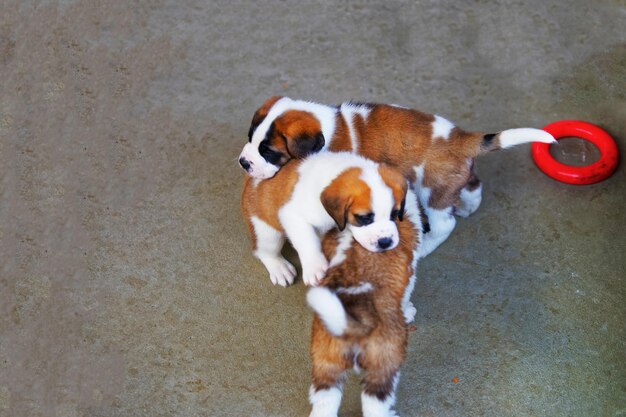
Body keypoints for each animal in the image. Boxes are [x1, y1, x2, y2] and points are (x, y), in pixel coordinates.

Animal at [238, 152, 404, 286]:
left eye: (395, 214)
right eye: (363, 218)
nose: (385, 242)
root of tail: (250, 182)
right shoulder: (291, 214)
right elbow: (307, 240)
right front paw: (314, 267)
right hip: (267, 232)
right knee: (265, 251)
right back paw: (279, 267)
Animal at [306, 188, 422, 416]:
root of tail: (351, 326)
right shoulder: (410, 269)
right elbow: (406, 293)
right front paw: (408, 311)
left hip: (326, 362)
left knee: (324, 402)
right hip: (384, 362)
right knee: (374, 403)